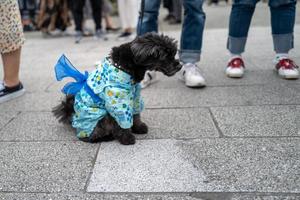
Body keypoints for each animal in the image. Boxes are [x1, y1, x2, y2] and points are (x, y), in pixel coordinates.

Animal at [52, 33, 182, 145]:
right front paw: (127, 138)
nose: (180, 66)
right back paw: (105, 137)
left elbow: (136, 114)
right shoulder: (118, 100)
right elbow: (122, 120)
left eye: (173, 53)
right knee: (88, 137)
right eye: (166, 56)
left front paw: (138, 127)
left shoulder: (135, 96)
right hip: (98, 116)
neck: (127, 65)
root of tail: (70, 113)